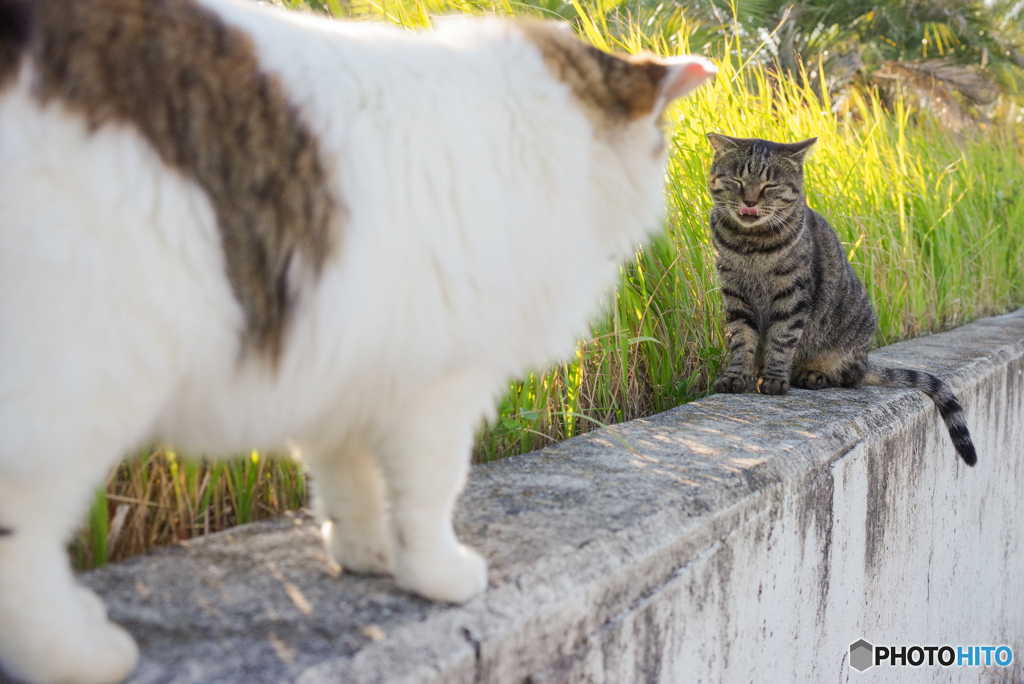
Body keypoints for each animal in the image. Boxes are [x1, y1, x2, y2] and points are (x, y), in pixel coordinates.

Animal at [0, 0, 716, 679]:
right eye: (657, 145)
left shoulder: (345, 368)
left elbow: (350, 483)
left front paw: (366, 555)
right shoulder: (440, 386)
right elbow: (430, 492)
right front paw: (436, 575)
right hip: (83, 381)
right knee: (24, 547)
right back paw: (82, 652)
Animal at [704, 132, 974, 466]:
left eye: (770, 185)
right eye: (738, 180)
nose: (750, 201)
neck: (750, 245)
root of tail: (866, 359)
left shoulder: (792, 294)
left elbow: (782, 338)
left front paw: (775, 379)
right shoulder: (735, 294)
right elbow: (741, 340)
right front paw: (736, 375)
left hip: (849, 339)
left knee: (848, 377)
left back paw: (812, 374)